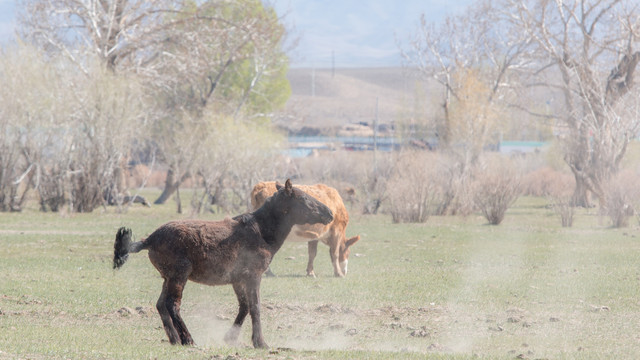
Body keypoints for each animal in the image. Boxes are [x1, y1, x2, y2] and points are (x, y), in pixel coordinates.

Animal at [112, 180, 332, 348]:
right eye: (303, 198)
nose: (329, 213)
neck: (261, 231)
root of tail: (149, 239)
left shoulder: (238, 279)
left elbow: (244, 307)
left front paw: (230, 338)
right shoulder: (254, 276)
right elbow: (255, 307)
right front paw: (260, 343)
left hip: (168, 278)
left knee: (160, 305)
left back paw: (174, 339)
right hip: (178, 276)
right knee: (172, 305)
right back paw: (188, 339)